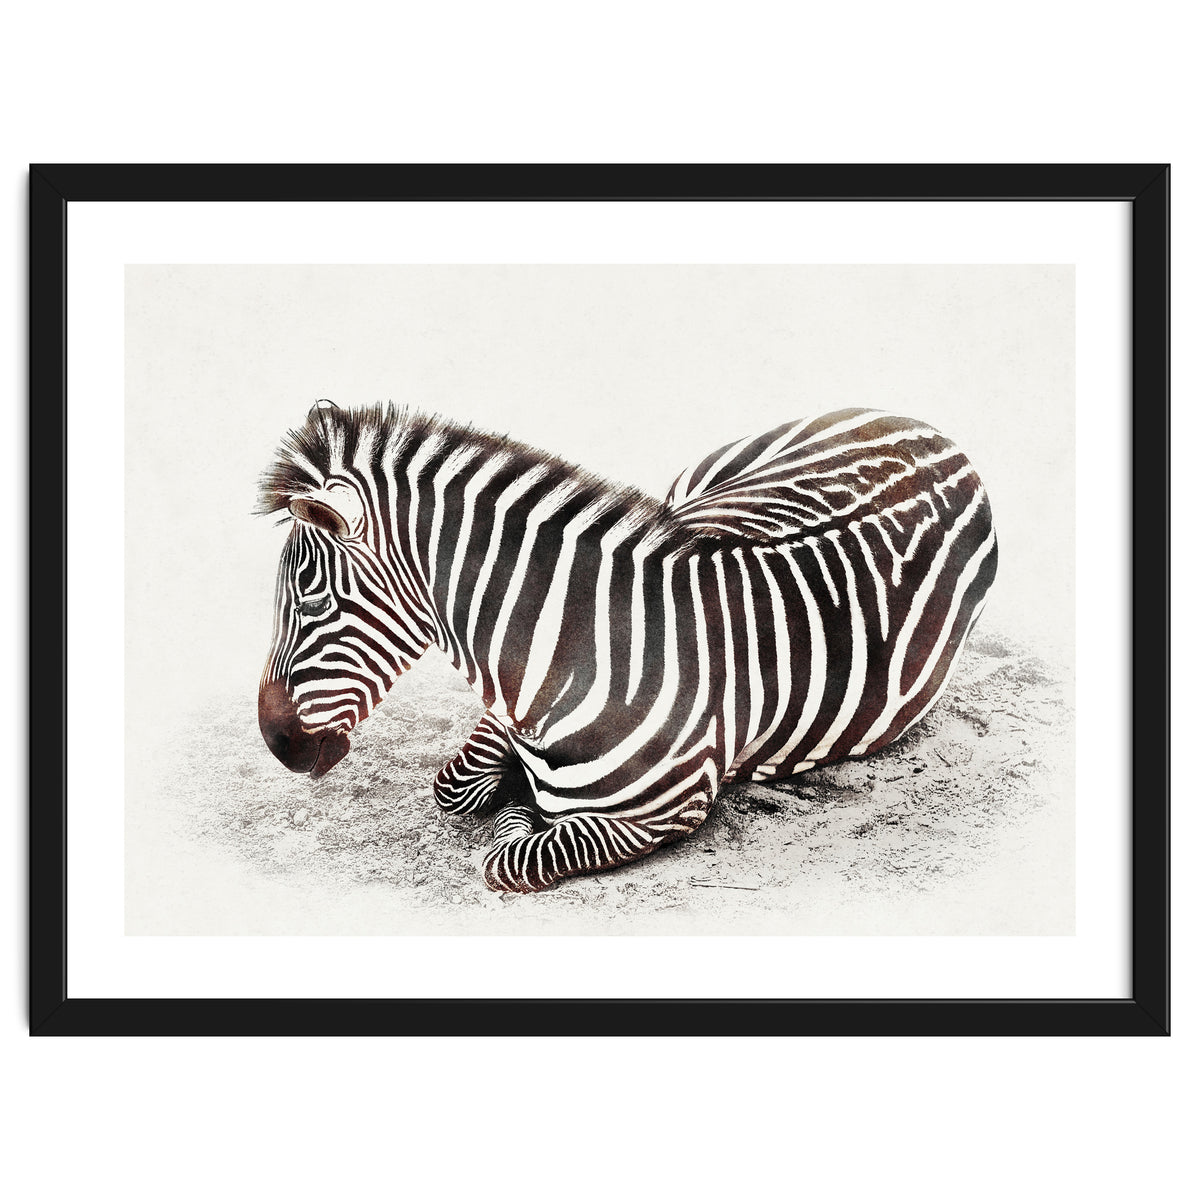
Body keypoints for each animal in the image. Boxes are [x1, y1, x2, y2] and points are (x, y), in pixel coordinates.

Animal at [258, 400, 998, 893]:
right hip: (694, 488)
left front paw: (520, 806)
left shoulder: (666, 811)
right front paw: (511, 788)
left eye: (313, 600)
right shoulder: (504, 710)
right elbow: (456, 786)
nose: (277, 744)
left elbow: (511, 855)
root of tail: (940, 435)